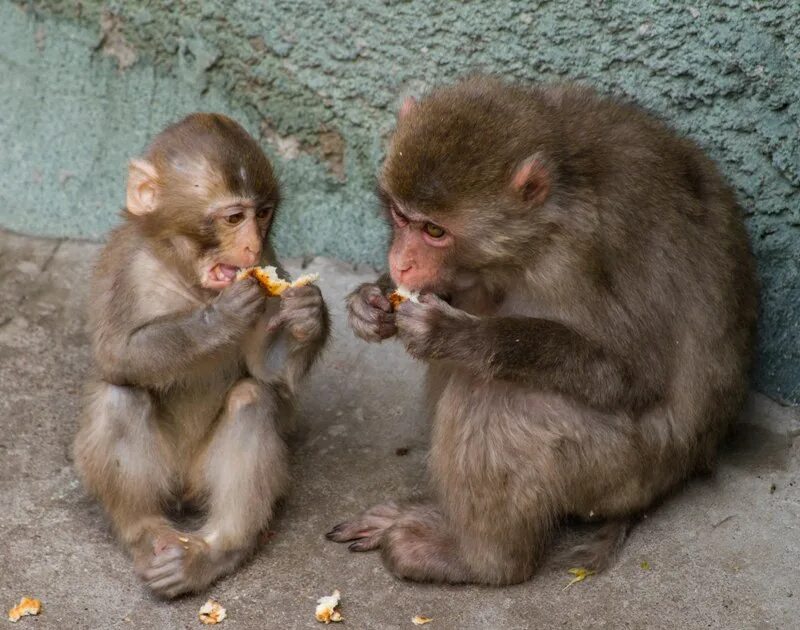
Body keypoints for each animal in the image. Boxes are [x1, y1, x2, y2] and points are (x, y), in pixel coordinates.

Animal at [72, 115, 328, 604]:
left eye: (262, 214)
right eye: (233, 217)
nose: (250, 248)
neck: (182, 271)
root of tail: (185, 490)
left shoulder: (270, 263)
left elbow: (267, 371)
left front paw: (309, 314)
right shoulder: (123, 266)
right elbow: (116, 355)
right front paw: (220, 318)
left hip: (201, 473)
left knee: (252, 399)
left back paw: (215, 552)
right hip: (166, 473)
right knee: (120, 397)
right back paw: (146, 530)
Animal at [328, 79, 760, 588]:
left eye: (434, 229)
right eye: (399, 215)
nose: (400, 263)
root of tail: (681, 474)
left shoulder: (579, 255)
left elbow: (632, 372)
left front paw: (455, 335)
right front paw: (370, 301)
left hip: (621, 469)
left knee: (495, 396)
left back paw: (480, 559)